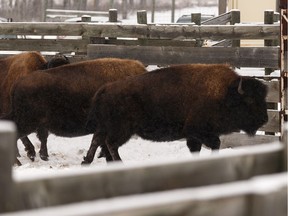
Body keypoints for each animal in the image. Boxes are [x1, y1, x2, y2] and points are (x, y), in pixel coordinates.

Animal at [82, 63, 268, 164]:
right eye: (250, 100)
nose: (265, 119)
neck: (225, 93)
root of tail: (105, 89)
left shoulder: (194, 136)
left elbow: (196, 149)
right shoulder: (197, 131)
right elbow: (215, 143)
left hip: (106, 126)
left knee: (98, 140)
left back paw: (87, 162)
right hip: (122, 129)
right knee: (110, 144)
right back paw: (119, 163)